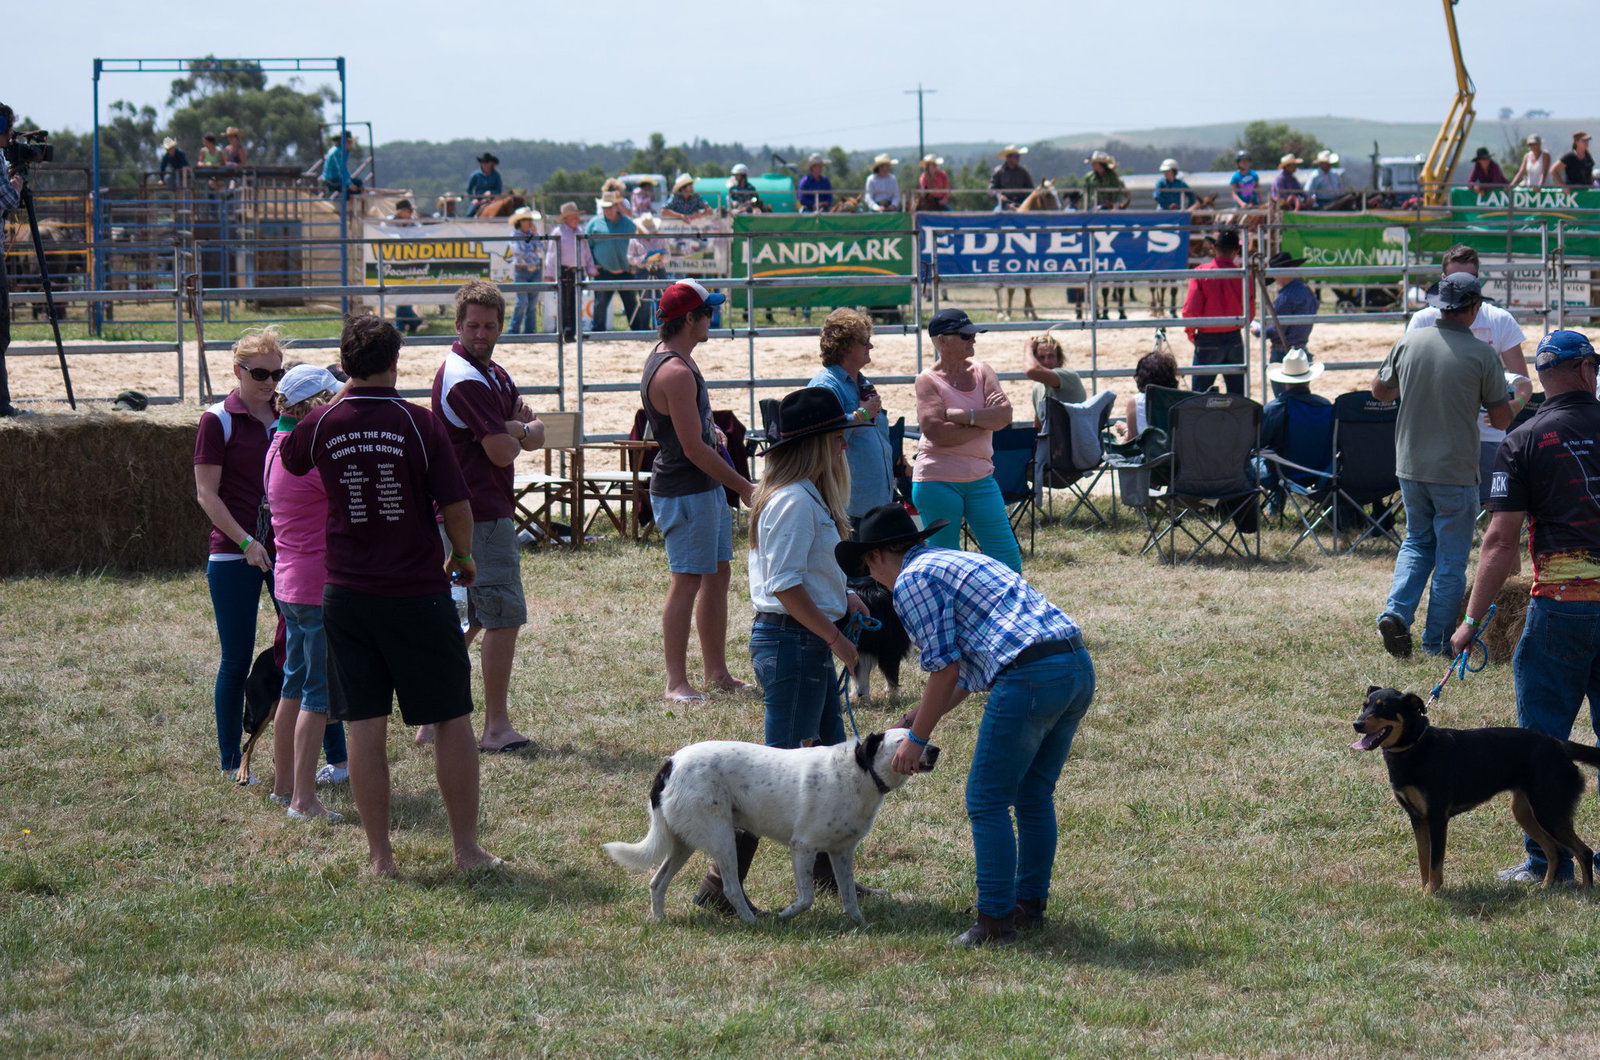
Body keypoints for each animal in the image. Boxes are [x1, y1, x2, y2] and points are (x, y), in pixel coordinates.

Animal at [608, 736, 934, 928]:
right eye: (903, 740)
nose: (935, 749)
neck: (860, 770)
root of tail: (671, 763)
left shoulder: (841, 852)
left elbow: (849, 896)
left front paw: (860, 923)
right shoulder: (802, 847)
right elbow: (806, 898)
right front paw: (784, 916)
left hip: (683, 843)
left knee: (657, 882)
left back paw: (659, 920)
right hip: (722, 838)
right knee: (730, 888)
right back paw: (752, 922)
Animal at [1350, 688, 1600, 896]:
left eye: (1383, 708)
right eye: (1365, 705)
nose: (1357, 724)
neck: (1415, 747)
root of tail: (1560, 745)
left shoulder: (1437, 818)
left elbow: (1435, 863)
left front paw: (1432, 893)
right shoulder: (1417, 818)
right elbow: (1423, 859)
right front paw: (1423, 890)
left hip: (1549, 812)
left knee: (1583, 851)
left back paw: (1587, 892)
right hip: (1526, 812)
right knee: (1554, 851)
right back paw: (1545, 888)